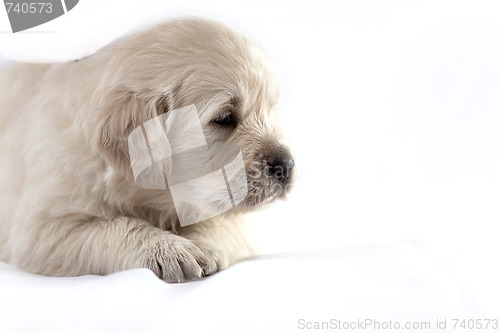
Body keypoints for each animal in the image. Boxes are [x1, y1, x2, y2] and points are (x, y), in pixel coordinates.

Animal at [0, 17, 292, 282]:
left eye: (271, 109)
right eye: (223, 118)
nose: (286, 164)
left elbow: (220, 222)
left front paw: (203, 244)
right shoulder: (43, 230)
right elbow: (113, 228)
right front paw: (168, 249)